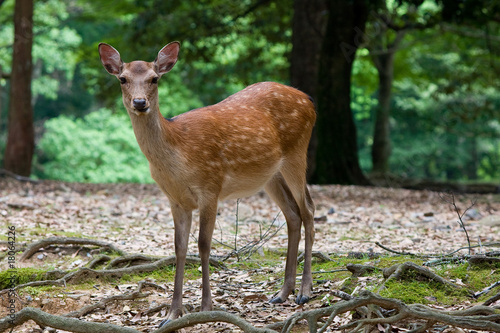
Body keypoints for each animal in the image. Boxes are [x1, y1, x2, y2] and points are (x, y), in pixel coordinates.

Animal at [98, 41, 316, 324]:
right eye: (122, 79)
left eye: (154, 78)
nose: (139, 102)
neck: (178, 153)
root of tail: (309, 101)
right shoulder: (176, 199)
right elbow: (179, 248)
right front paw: (173, 313)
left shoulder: (210, 187)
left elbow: (203, 245)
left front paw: (206, 307)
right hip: (270, 175)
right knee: (292, 214)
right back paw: (282, 293)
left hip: (297, 153)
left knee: (308, 209)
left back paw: (304, 291)